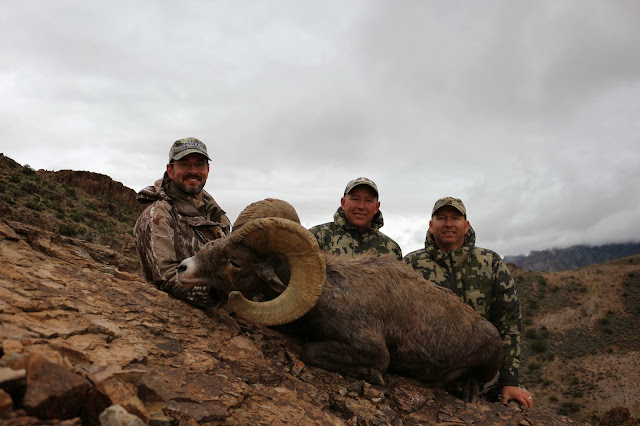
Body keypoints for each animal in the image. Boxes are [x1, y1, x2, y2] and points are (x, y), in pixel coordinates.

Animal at [177, 201, 503, 402]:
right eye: (214, 241)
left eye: (235, 261)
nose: (183, 268)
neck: (326, 294)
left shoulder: (372, 349)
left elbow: (310, 351)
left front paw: (372, 376)